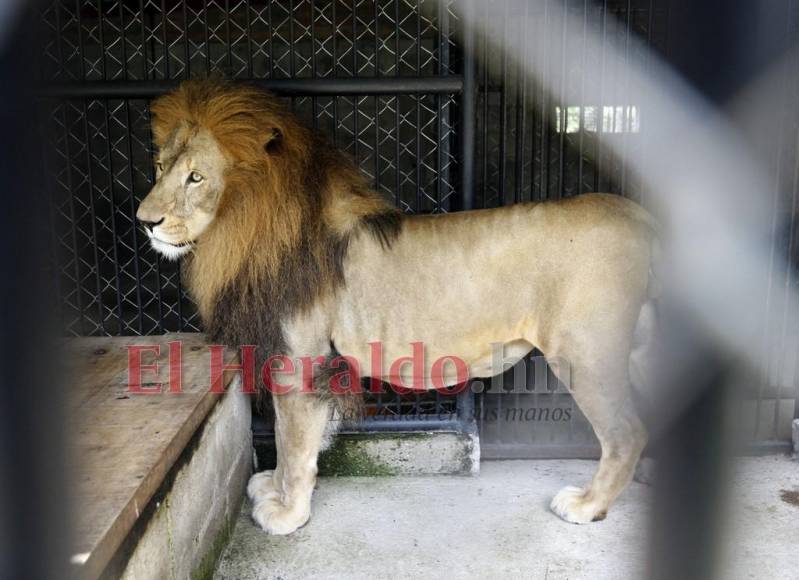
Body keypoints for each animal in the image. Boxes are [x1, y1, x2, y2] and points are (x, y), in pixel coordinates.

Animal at [138, 78, 660, 536]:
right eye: (160, 167)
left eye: (196, 176)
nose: (145, 221)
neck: (245, 227)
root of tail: (642, 217)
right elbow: (299, 438)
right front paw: (275, 488)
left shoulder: (301, 357)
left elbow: (294, 443)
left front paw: (287, 513)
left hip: (584, 354)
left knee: (626, 433)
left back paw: (589, 504)